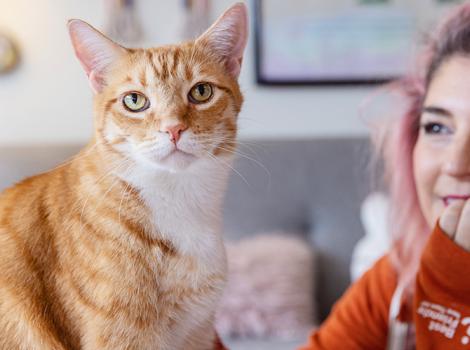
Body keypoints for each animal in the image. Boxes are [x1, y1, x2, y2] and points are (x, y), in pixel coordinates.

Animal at [0, 3, 248, 350]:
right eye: (134, 100)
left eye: (201, 92)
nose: (173, 128)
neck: (178, 201)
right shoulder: (125, 337)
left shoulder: (197, 333)